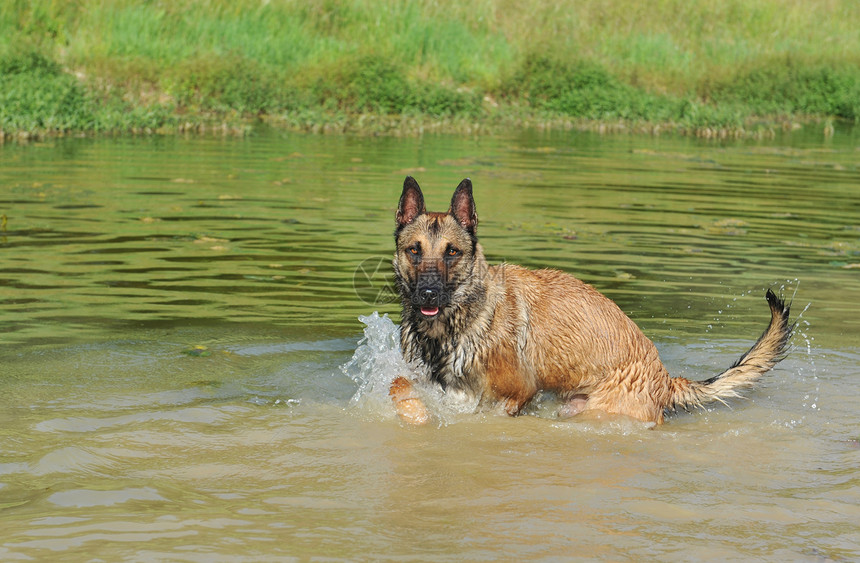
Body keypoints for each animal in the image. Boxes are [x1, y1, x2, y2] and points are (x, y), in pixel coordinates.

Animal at [390, 176, 792, 424]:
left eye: (452, 252)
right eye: (414, 250)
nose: (428, 293)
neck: (459, 318)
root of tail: (664, 378)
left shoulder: (513, 396)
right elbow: (401, 385)